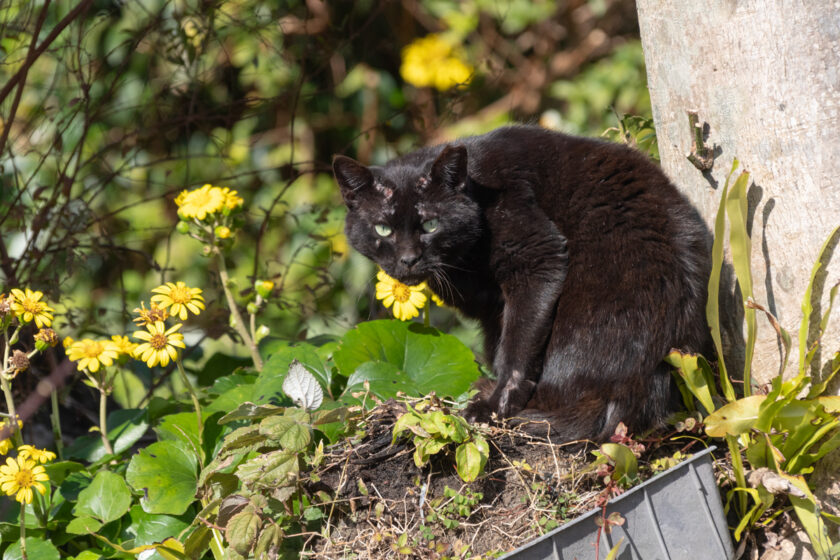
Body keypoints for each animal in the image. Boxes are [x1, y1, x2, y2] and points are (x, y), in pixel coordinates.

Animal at [334, 126, 708, 442]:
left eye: (430, 225)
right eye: (383, 229)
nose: (409, 259)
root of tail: (633, 386)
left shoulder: (538, 256)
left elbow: (516, 346)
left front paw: (493, 408)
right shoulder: (491, 308)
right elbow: (500, 343)